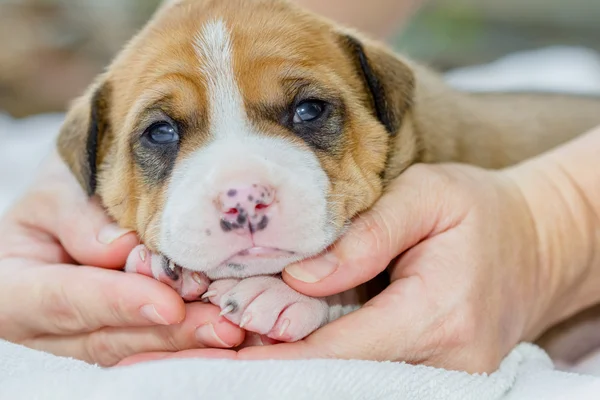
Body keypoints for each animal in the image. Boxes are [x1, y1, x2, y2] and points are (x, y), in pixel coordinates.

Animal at [56, 0, 600, 344]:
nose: (243, 196)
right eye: (161, 132)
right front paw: (158, 264)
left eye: (309, 110)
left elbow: (360, 284)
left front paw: (281, 295)